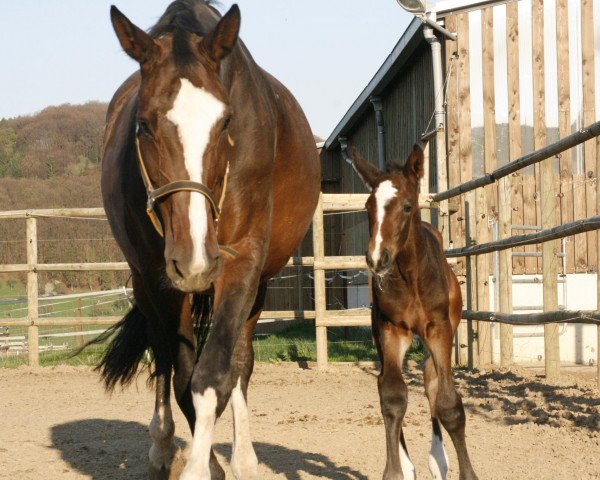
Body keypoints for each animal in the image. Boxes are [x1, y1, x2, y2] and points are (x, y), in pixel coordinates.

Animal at [350, 145, 476, 480]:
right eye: (368, 207)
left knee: (432, 380)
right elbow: (393, 396)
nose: (377, 258)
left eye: (407, 206)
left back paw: (438, 459)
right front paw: (397, 471)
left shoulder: (439, 329)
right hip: (380, 334)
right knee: (385, 381)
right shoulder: (393, 329)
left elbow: (448, 403)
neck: (411, 277)